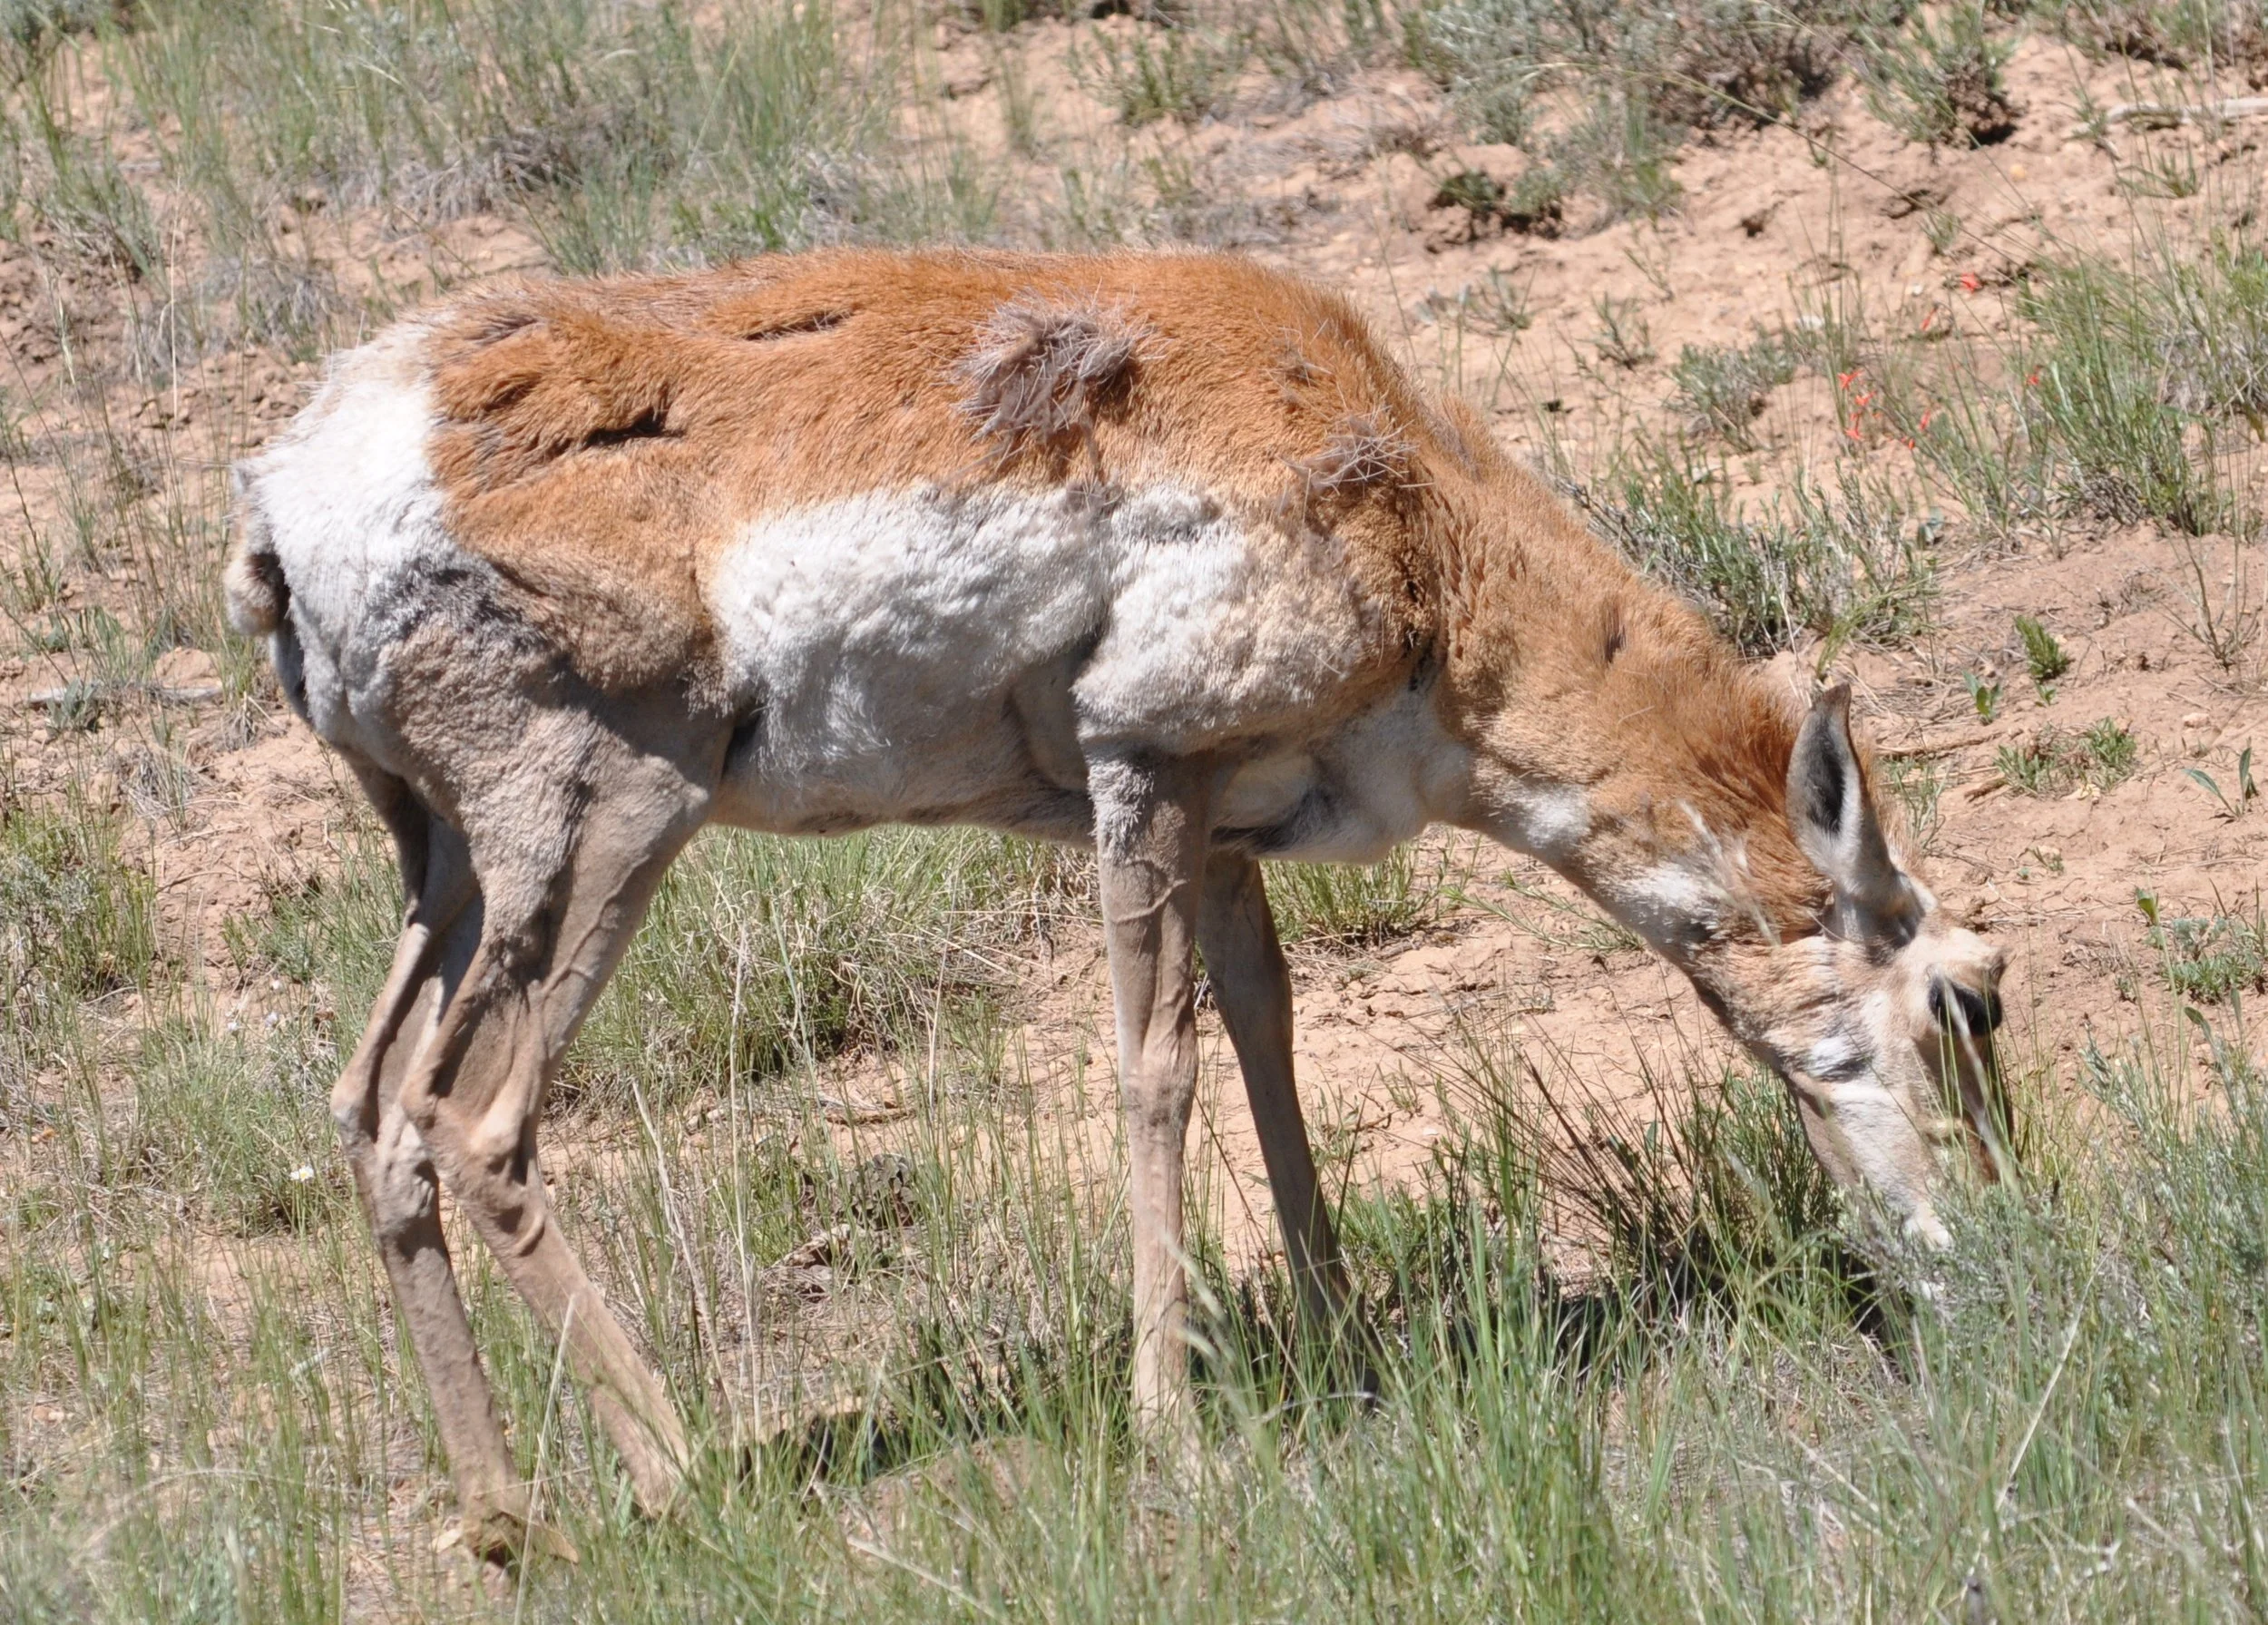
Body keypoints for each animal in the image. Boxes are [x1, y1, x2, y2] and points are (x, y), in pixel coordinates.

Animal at [223, 248, 2012, 1559]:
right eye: (1967, 992)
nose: (2001, 1255)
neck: (1417, 523)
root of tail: (297, 485)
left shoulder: (1224, 829)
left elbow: (1273, 1049)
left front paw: (1345, 1346)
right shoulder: (1140, 771)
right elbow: (1160, 1068)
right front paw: (1176, 1423)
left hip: (449, 870)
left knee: (370, 1110)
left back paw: (503, 1517)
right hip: (607, 826)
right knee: (475, 1124)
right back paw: (684, 1480)